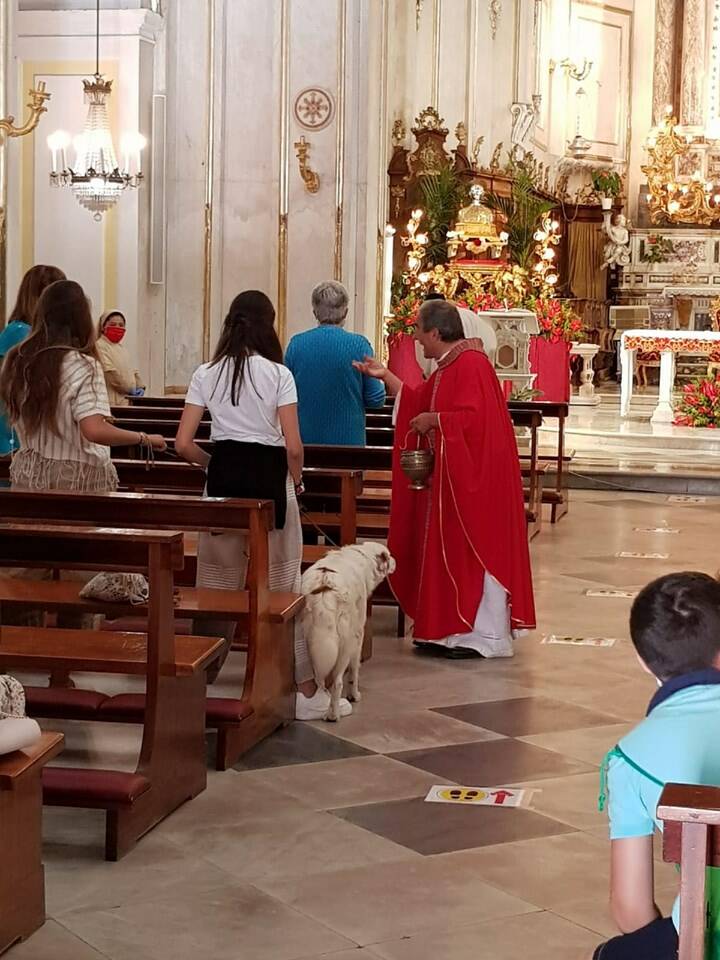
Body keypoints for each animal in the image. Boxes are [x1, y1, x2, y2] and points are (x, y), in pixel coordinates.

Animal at [300, 540, 396, 720]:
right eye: (389, 554)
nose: (395, 561)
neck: (362, 555)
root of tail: (324, 588)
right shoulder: (358, 634)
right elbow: (355, 669)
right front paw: (354, 695)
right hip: (345, 644)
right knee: (337, 682)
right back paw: (333, 714)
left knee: (318, 680)